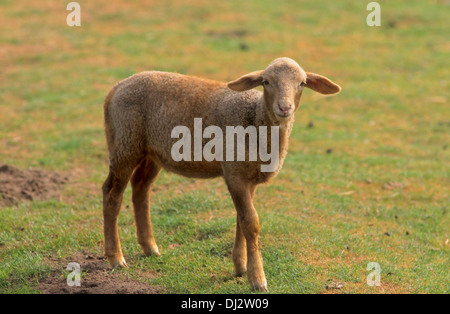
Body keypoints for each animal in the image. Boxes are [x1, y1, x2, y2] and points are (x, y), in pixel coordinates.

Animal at [103, 57, 342, 290]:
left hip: (151, 151)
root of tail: (115, 89)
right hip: (125, 143)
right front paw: (258, 279)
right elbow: (251, 223)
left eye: (302, 83)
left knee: (140, 188)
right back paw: (116, 258)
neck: (255, 119)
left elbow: (241, 221)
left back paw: (150, 247)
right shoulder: (235, 173)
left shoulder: (248, 176)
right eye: (266, 82)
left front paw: (241, 266)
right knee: (112, 194)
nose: (284, 108)